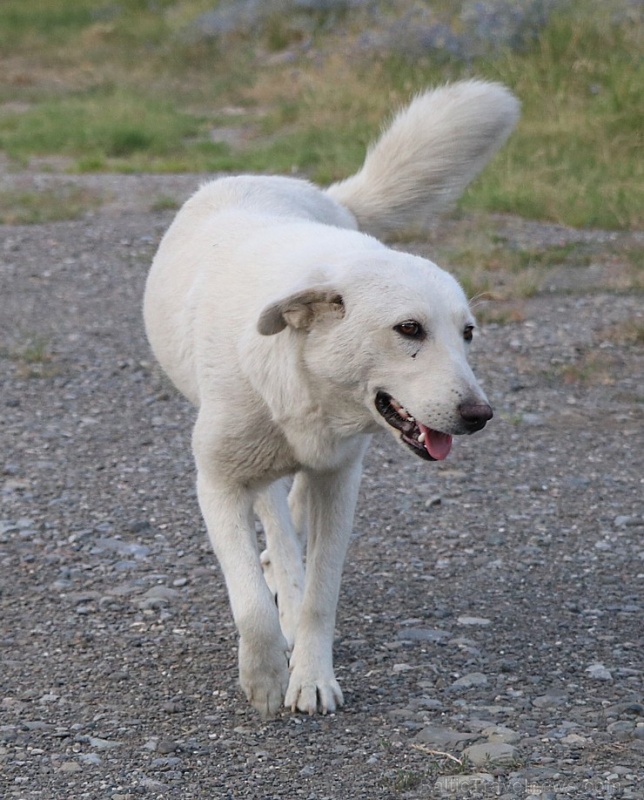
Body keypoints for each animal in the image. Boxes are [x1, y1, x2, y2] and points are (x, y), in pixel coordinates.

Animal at [145, 81, 520, 720]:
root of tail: (309, 189)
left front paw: (311, 675)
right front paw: (266, 678)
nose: (480, 416)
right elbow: (251, 604)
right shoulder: (217, 483)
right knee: (273, 516)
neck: (310, 387)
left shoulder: (340, 483)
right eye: (409, 329)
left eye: (467, 333)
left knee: (290, 513)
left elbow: (322, 594)